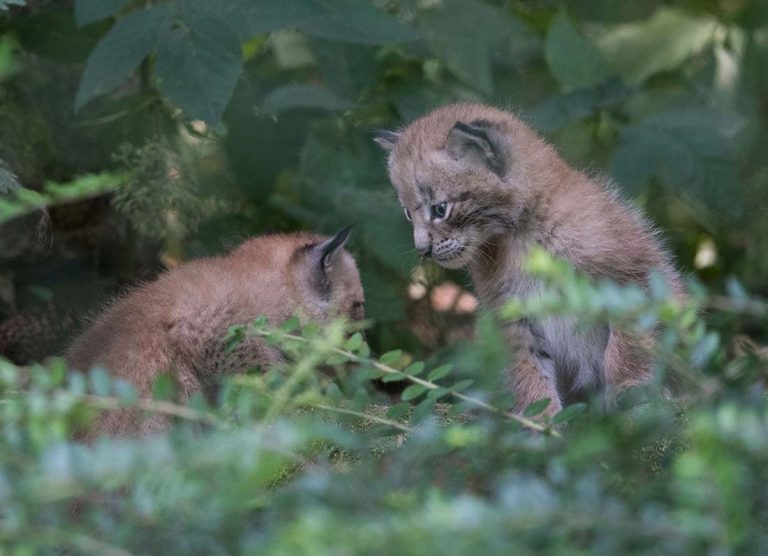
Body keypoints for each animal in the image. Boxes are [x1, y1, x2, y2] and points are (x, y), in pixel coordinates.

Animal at [376, 102, 680, 414]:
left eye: (440, 209)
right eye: (408, 213)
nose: (422, 250)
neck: (520, 232)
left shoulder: (635, 273)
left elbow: (628, 343)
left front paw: (630, 392)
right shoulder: (510, 310)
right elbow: (527, 365)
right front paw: (541, 416)